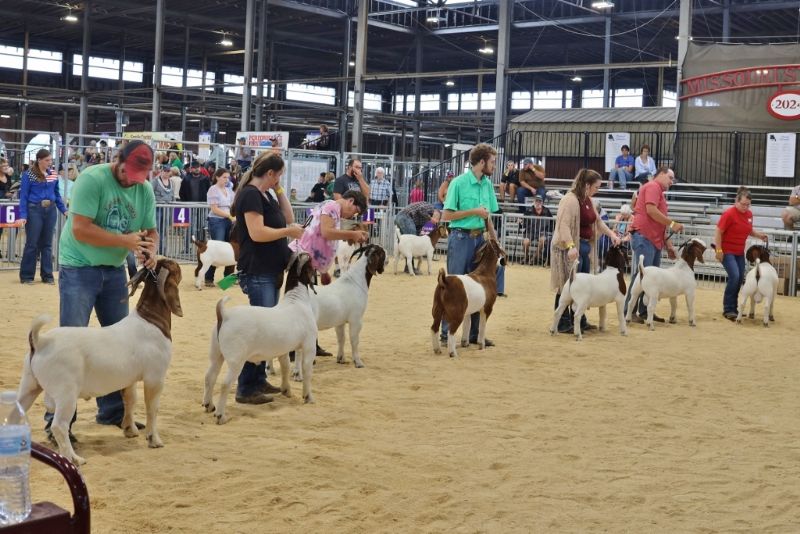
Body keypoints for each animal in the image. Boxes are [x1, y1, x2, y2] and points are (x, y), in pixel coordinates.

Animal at [16, 260, 184, 464]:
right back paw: (74, 458)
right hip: (66, 393)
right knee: (59, 426)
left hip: (29, 385)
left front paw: (130, 429)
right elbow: (152, 408)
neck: (150, 320)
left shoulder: (129, 379)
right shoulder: (155, 378)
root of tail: (40, 342)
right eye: (175, 267)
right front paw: (154, 440)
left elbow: (130, 399)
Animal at [203, 251, 318, 422]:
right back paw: (220, 415)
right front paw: (308, 397)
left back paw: (209, 405)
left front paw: (286, 390)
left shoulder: (284, 349)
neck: (296, 300)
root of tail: (225, 314)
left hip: (216, 353)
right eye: (311, 263)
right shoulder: (309, 345)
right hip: (236, 359)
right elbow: (307, 370)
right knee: (225, 384)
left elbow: (285, 367)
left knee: (209, 377)